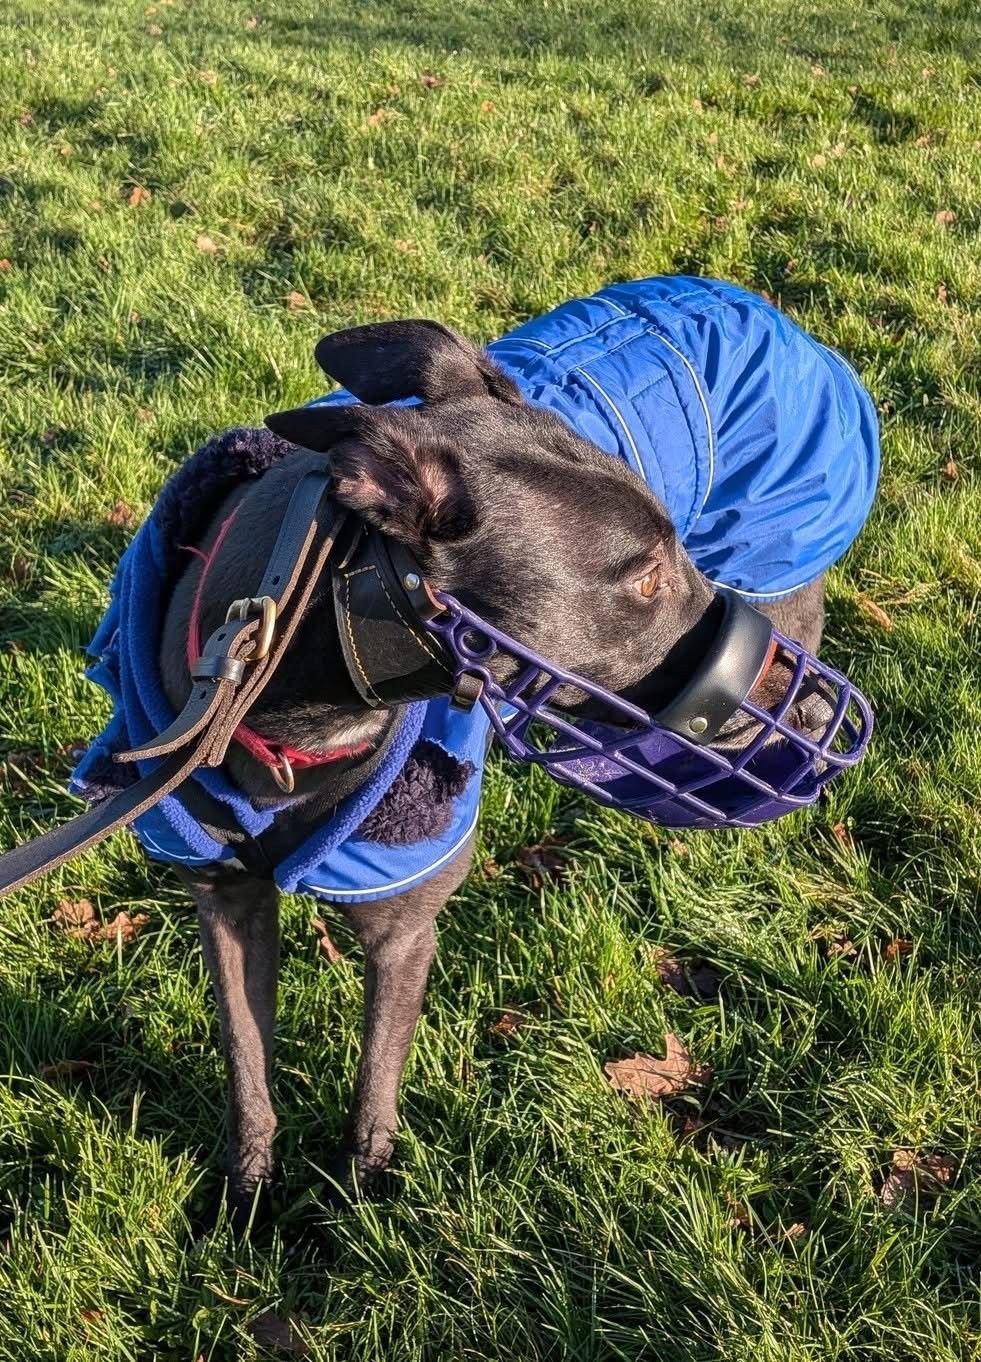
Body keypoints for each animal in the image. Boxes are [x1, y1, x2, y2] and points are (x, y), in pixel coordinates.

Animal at [66, 276, 879, 1226]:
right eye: (643, 577)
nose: (820, 705)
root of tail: (742, 295)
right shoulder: (224, 901)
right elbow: (247, 1064)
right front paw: (249, 1200)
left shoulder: (403, 922)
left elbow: (373, 1085)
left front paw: (363, 1206)